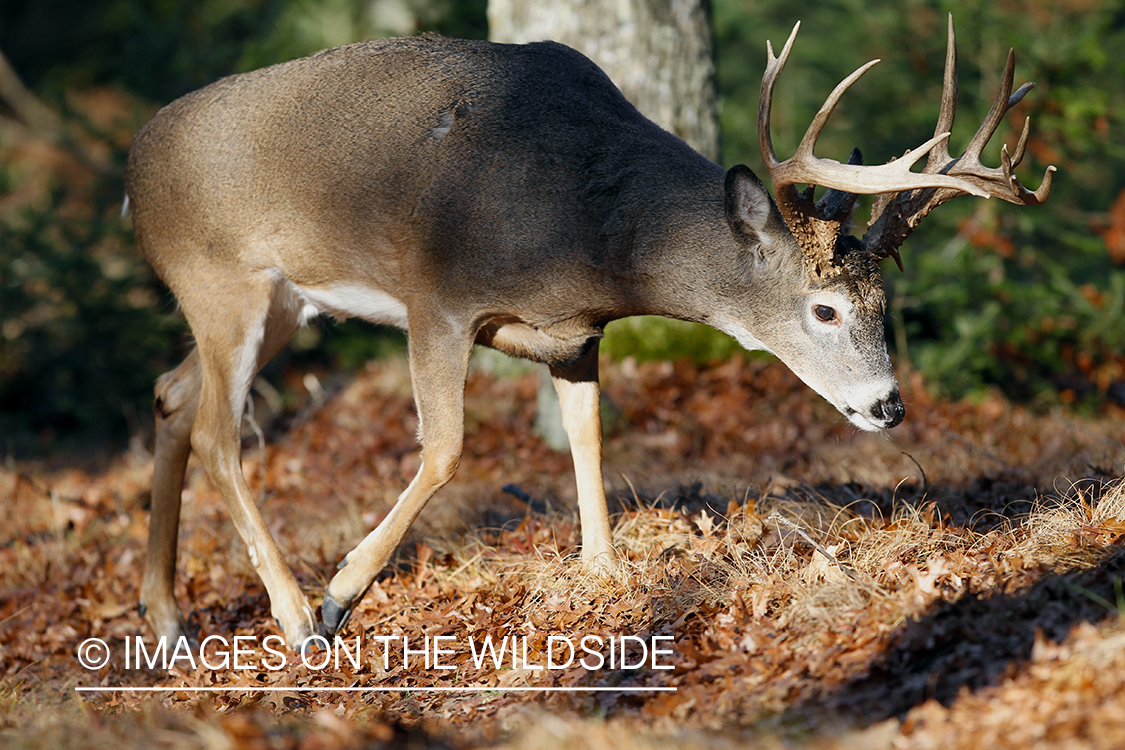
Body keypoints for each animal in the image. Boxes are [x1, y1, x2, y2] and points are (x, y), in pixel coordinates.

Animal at [127, 16, 1048, 652]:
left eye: (882, 303)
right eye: (823, 309)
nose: (888, 405)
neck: (587, 237)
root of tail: (134, 172)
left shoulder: (575, 334)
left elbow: (587, 434)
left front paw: (605, 573)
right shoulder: (438, 298)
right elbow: (446, 450)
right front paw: (341, 592)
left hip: (285, 302)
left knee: (170, 395)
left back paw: (166, 619)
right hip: (222, 279)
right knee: (216, 431)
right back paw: (291, 614)